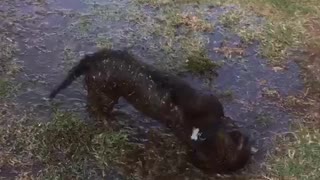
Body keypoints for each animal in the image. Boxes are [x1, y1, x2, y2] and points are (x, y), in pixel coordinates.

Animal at [48, 48, 251, 174]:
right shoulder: (199, 104)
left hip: (103, 92)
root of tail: (90, 60)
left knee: (93, 106)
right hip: (105, 87)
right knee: (95, 107)